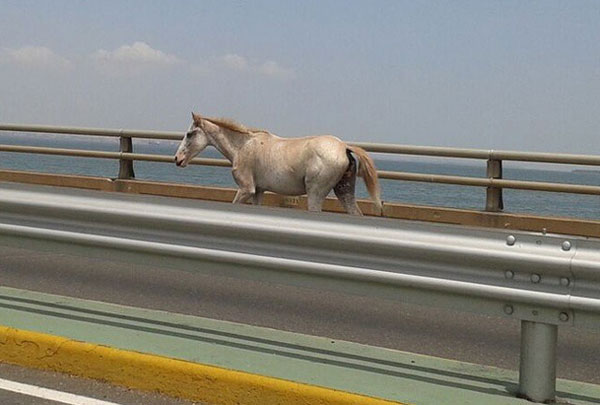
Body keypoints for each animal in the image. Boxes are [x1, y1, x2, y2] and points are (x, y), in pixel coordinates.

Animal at [173, 112, 382, 215]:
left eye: (189, 134)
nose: (177, 159)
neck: (243, 147)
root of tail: (344, 147)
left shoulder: (246, 189)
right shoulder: (258, 191)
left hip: (316, 193)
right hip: (344, 190)